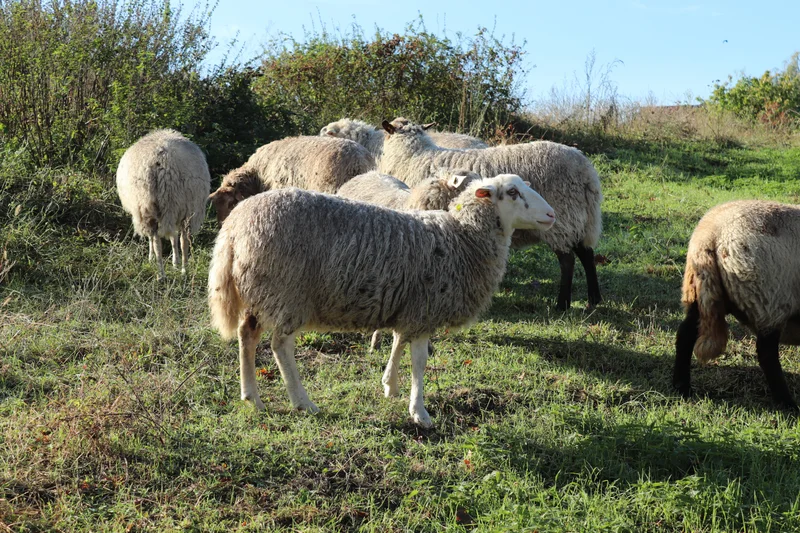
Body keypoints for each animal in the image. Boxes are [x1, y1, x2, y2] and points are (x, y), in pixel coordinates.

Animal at [116, 129, 210, 280]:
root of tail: (164, 162)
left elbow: (154, 238)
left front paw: (151, 258)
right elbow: (173, 236)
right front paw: (175, 262)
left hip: (149, 204)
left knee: (157, 240)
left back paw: (161, 273)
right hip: (187, 205)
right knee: (183, 240)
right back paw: (184, 270)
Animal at [207, 174, 556, 427]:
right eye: (512, 192)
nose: (551, 214)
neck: (462, 237)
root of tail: (234, 227)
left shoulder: (409, 306)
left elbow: (398, 342)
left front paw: (390, 385)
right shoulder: (425, 308)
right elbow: (419, 361)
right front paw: (419, 412)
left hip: (259, 290)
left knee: (247, 335)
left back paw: (252, 398)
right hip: (286, 290)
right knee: (280, 346)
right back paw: (303, 402)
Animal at [379, 118, 604, 310]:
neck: (412, 156)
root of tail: (586, 171)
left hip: (561, 218)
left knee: (568, 259)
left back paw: (562, 304)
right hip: (577, 218)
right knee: (586, 253)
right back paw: (594, 298)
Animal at [674, 200, 800, 411]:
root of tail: (710, 233)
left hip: (704, 294)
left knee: (685, 334)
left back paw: (682, 388)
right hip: (769, 300)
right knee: (766, 353)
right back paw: (787, 403)